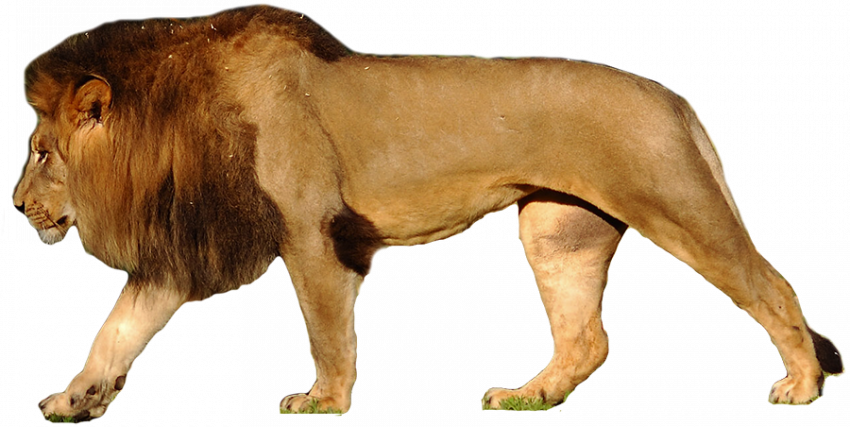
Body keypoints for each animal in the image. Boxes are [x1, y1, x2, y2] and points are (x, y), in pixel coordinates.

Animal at [13, 2, 845, 423]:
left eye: (45, 152)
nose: (16, 207)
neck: (169, 124)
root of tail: (675, 98)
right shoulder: (186, 247)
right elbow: (117, 330)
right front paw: (73, 400)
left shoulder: (313, 233)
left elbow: (327, 332)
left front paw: (323, 402)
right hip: (556, 230)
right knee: (586, 337)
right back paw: (530, 396)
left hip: (675, 203)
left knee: (775, 288)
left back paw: (802, 388)